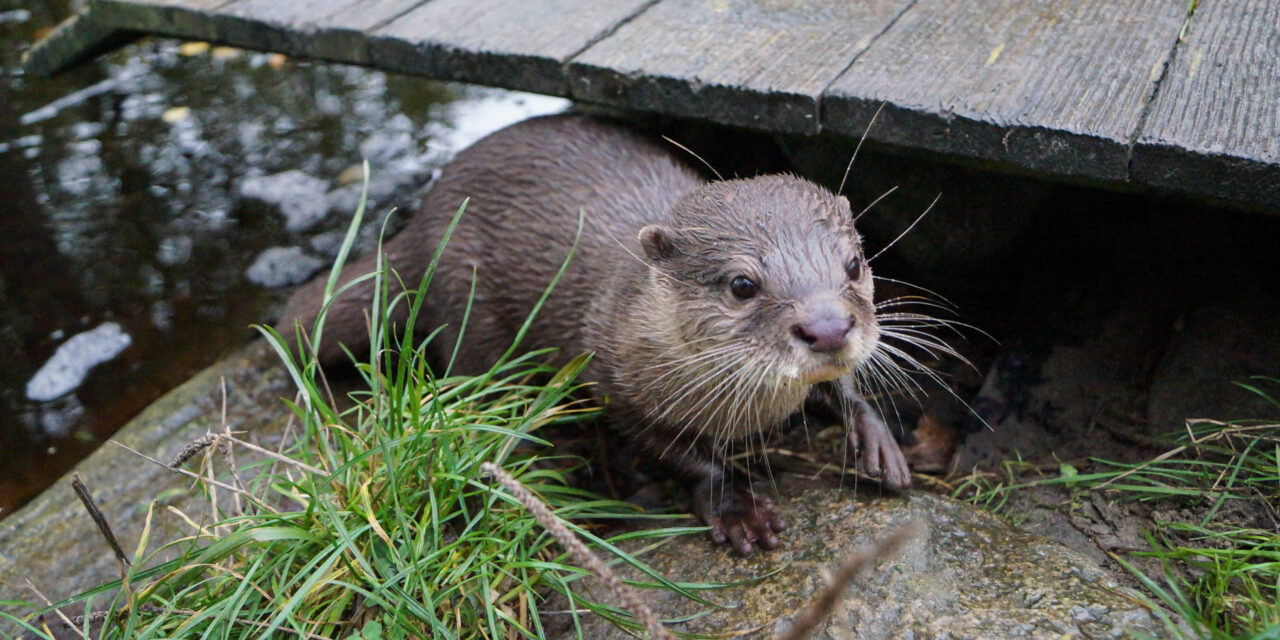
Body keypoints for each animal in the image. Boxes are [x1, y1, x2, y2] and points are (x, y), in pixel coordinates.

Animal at [282, 115, 911, 555]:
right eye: (741, 284)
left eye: (854, 264)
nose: (828, 328)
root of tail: (423, 223)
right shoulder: (613, 381)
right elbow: (683, 455)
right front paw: (736, 508)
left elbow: (844, 390)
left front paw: (877, 441)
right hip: (469, 308)